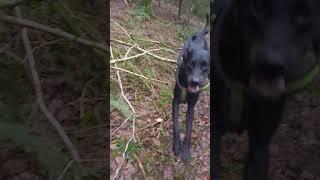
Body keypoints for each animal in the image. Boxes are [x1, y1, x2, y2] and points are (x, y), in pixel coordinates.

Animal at [172, 15, 210, 162]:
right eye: (190, 65)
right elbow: (176, 125)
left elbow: (188, 131)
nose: (194, 81)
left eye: (205, 67)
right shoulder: (175, 102)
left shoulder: (191, 107)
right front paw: (176, 146)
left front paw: (186, 151)